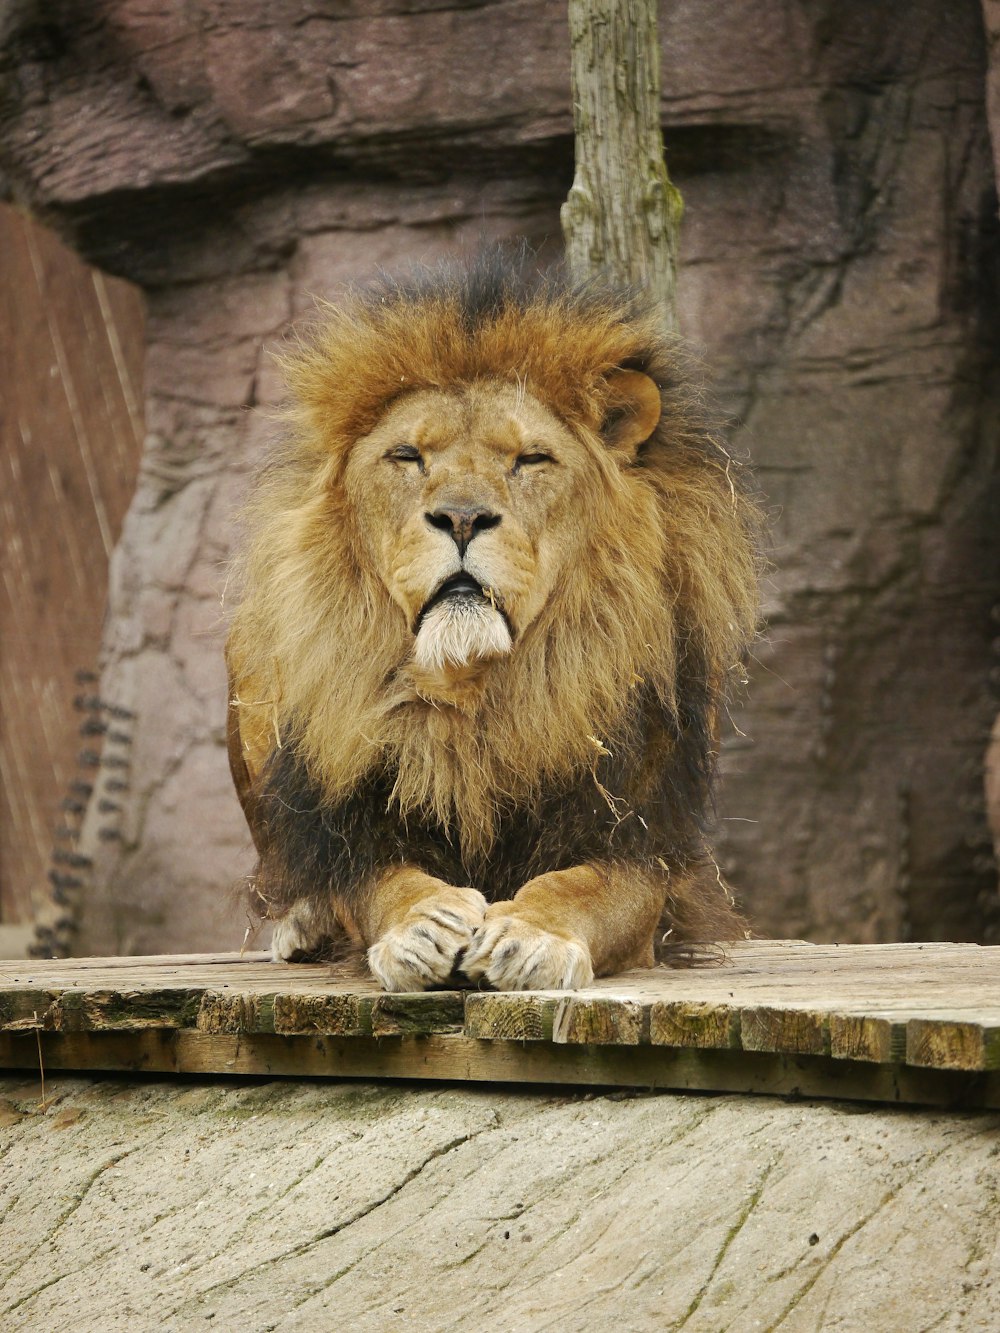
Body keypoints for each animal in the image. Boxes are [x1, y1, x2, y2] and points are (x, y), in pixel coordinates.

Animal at [225, 250, 757, 991]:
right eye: (407, 456)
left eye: (530, 459)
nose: (462, 516)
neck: (473, 688)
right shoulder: (360, 826)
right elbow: (381, 884)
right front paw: (420, 925)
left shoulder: (636, 838)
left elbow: (582, 887)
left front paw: (531, 937)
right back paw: (301, 926)